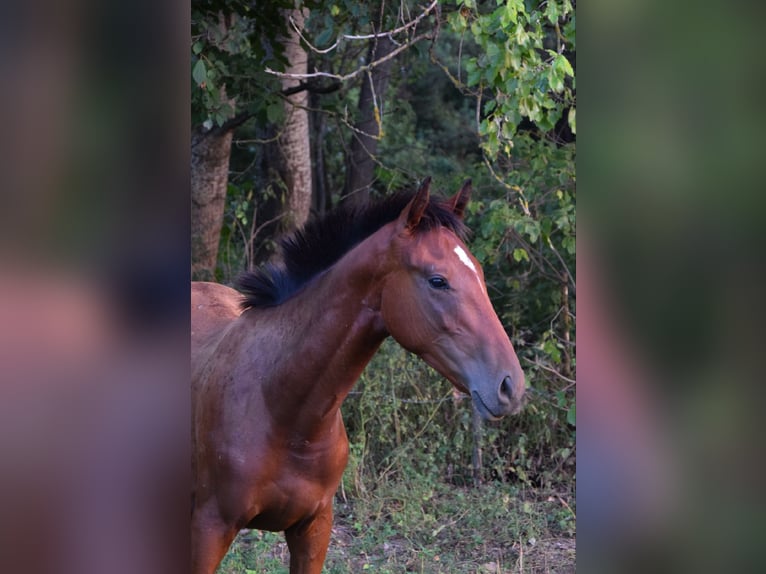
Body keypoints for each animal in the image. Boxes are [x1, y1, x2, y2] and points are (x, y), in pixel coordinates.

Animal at [192, 178, 528, 572]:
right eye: (437, 280)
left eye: (479, 272)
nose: (510, 386)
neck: (279, 407)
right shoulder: (209, 529)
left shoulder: (314, 528)